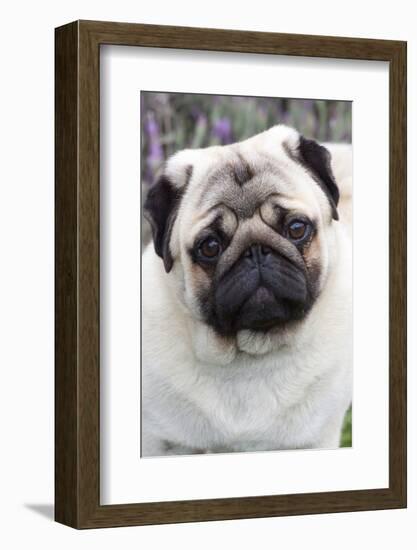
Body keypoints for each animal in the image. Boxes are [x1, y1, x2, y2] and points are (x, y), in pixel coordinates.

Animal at [141, 127, 352, 460]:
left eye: (296, 228)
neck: (252, 355)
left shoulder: (314, 440)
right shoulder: (163, 445)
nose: (255, 251)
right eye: (210, 246)